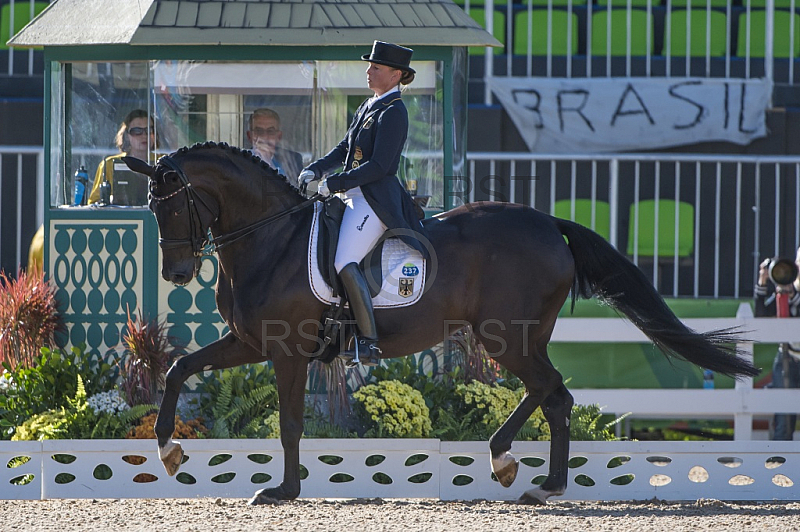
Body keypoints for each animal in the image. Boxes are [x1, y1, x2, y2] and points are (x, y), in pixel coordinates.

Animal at [122, 142, 760, 508]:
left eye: (175, 203)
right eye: (151, 206)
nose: (177, 272)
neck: (270, 239)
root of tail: (549, 224)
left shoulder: (285, 352)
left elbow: (290, 424)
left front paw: (281, 491)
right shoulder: (251, 342)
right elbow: (178, 369)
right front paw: (169, 451)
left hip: (506, 336)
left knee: (549, 390)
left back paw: (515, 466)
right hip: (515, 337)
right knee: (553, 394)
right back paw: (538, 481)